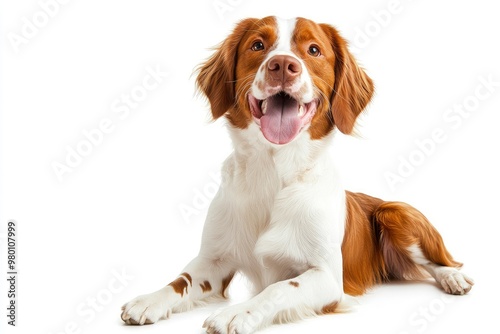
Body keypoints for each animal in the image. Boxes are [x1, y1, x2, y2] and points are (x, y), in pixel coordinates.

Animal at [120, 16, 472, 334]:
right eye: (257, 45)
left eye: (314, 50)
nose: (282, 65)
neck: (273, 174)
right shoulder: (214, 262)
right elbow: (180, 280)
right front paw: (149, 300)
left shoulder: (327, 277)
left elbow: (279, 287)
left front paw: (236, 313)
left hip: (395, 212)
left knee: (439, 262)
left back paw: (454, 278)